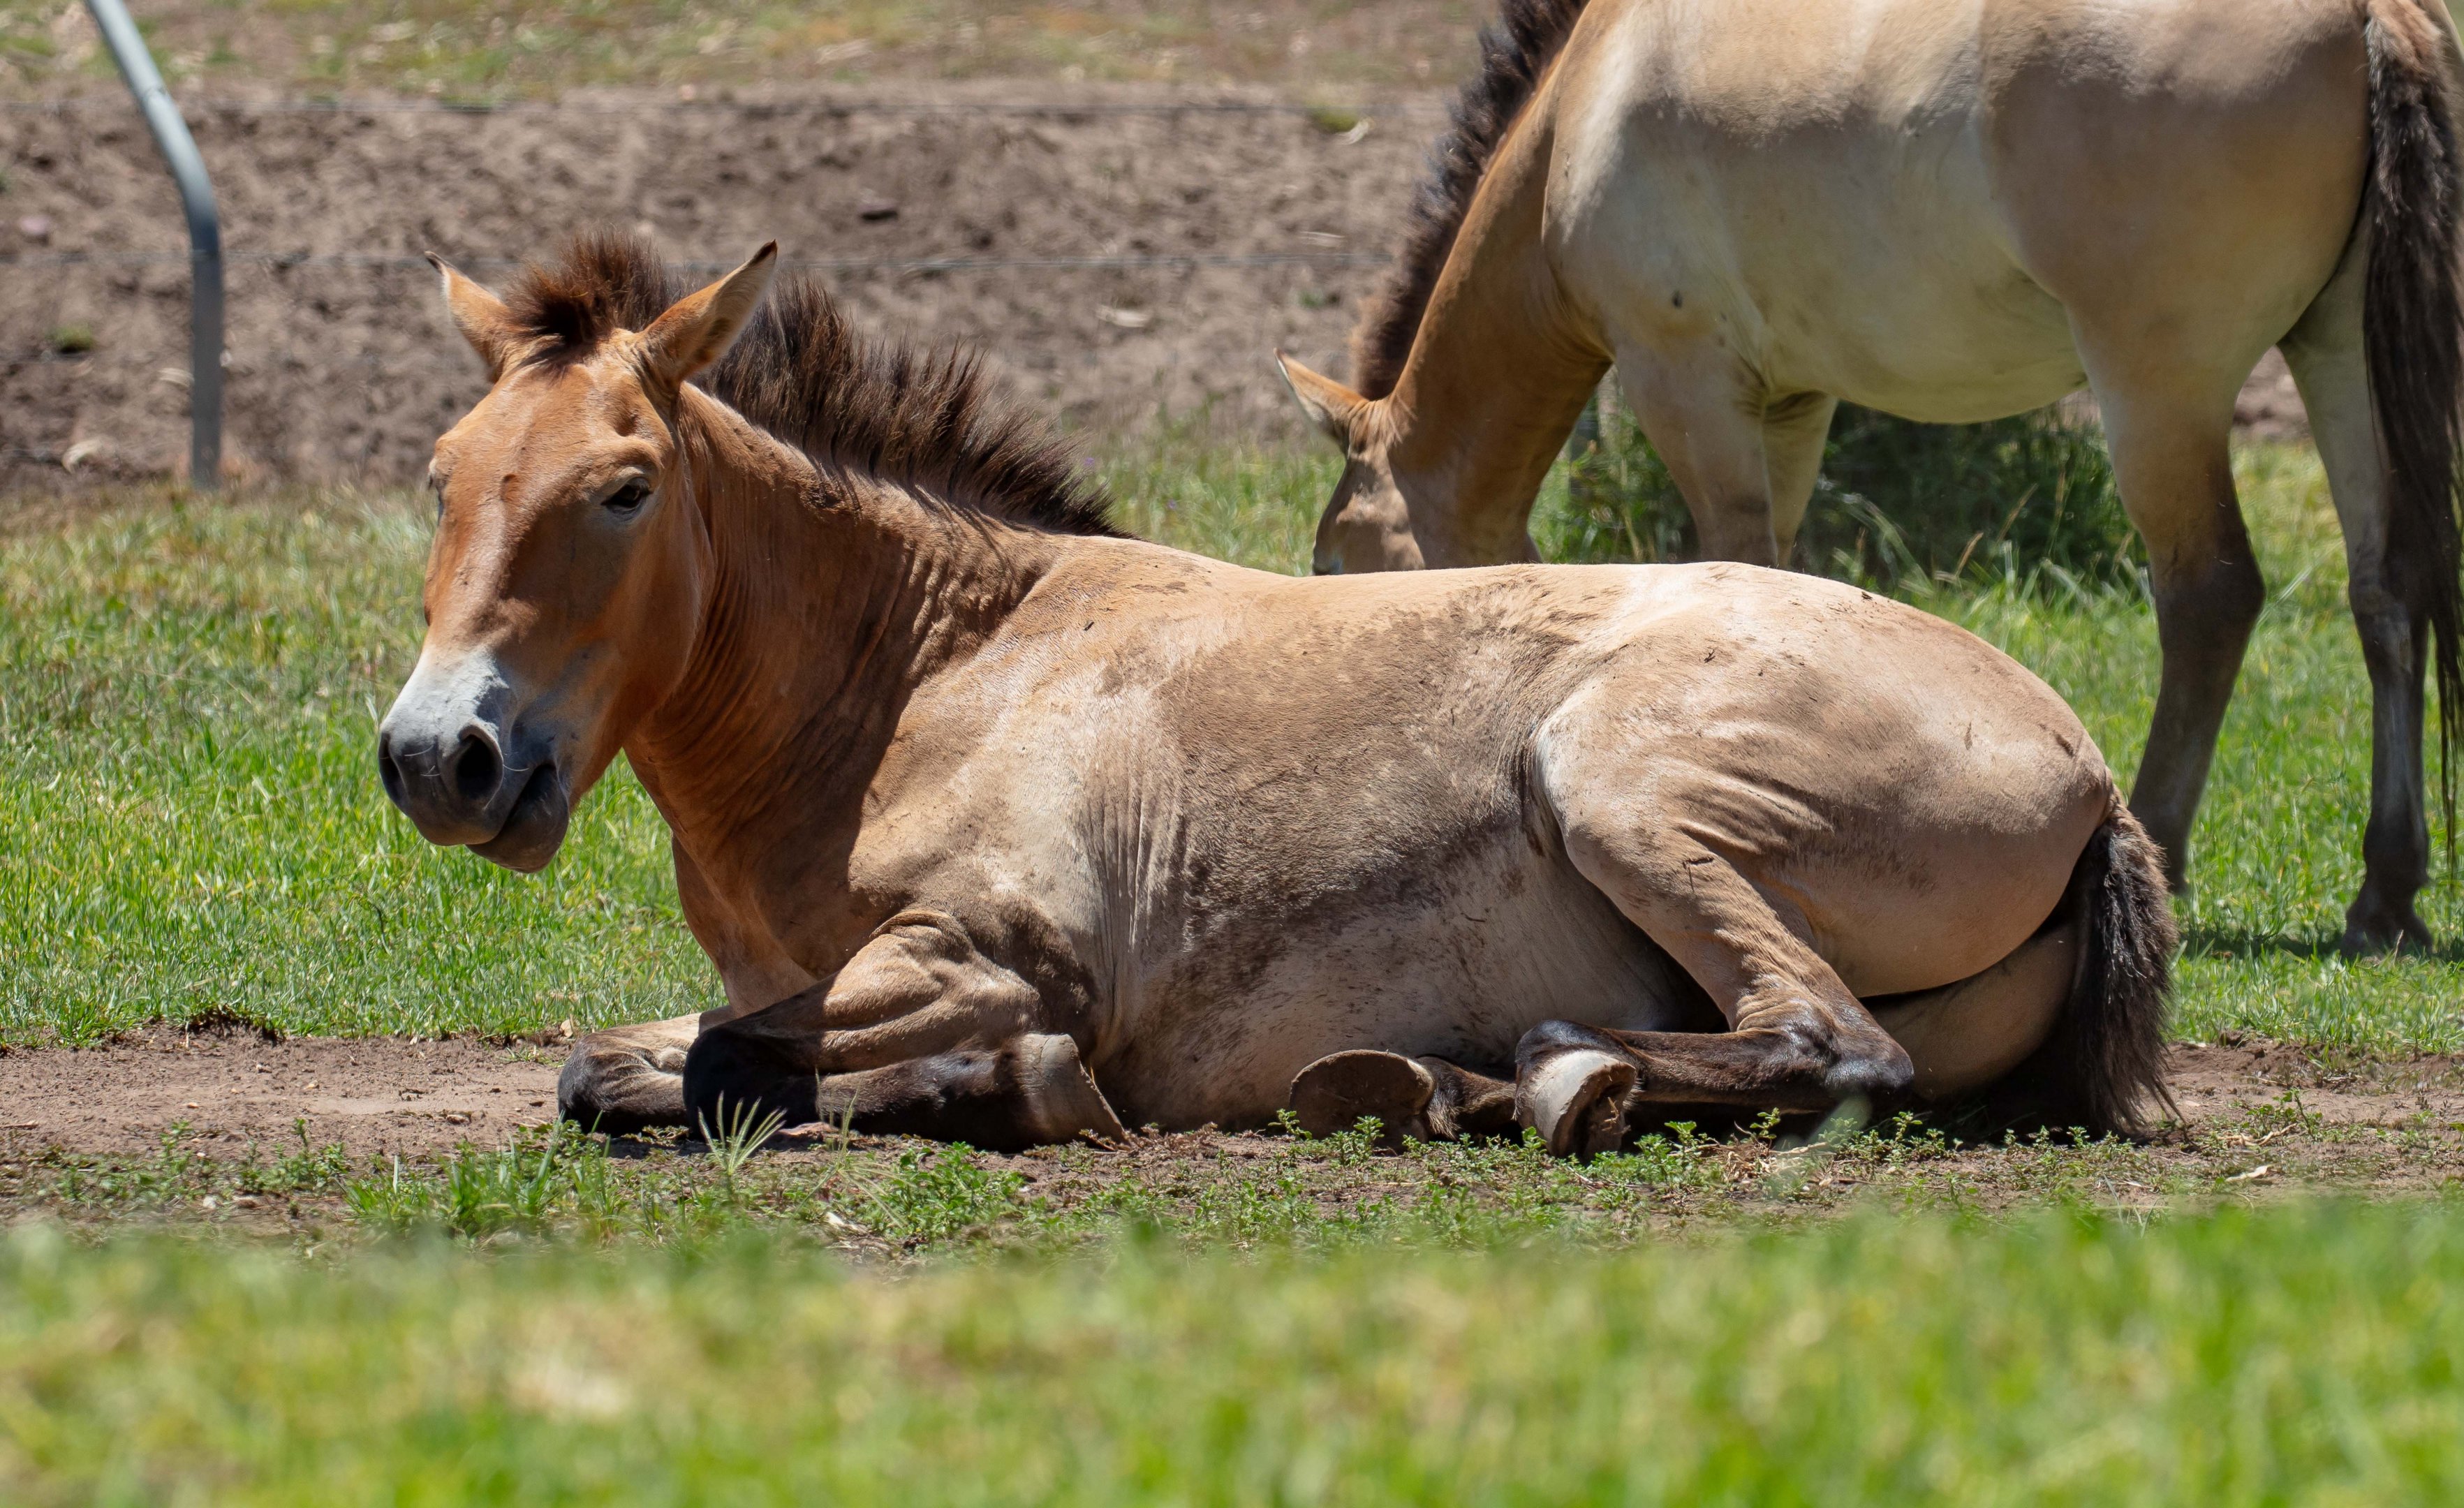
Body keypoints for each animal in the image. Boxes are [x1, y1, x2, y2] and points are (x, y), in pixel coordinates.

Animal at [376, 233, 2174, 1156]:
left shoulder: (985, 955)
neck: (930, 675)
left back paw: (1545, 1075)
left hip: (1626, 790)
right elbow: (622, 1061)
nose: (436, 756)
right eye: (443, 472)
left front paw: (1013, 1086)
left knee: (1828, 1045)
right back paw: (1448, 1083)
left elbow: (694, 1063)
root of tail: (2086, 771)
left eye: (622, 488)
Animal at [1275, 0, 2464, 955]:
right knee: (2388, 589)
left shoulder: (1687, 386)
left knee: (2210, 597)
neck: (1586, 103)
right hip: (2337, 355)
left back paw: (2161, 847)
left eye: (1332, 566)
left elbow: (1731, 567)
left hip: (2156, 385)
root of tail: (2365, 18)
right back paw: (2385, 897)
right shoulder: (1791, 405)